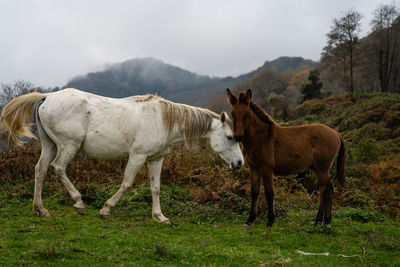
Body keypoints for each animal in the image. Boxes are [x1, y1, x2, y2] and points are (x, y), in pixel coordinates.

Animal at [0, 88, 244, 224]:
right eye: (230, 137)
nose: (240, 163)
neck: (163, 119)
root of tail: (46, 97)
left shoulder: (156, 158)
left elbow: (155, 187)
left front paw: (159, 217)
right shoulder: (137, 156)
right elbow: (127, 183)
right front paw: (106, 209)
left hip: (50, 144)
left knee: (40, 170)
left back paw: (40, 209)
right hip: (68, 145)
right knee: (58, 168)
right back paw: (78, 202)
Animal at [227, 89, 346, 227]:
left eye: (246, 114)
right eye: (232, 114)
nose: (238, 136)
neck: (261, 137)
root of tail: (336, 133)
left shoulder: (267, 169)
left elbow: (269, 193)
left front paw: (270, 221)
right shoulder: (254, 169)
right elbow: (255, 192)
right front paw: (250, 219)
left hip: (321, 168)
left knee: (324, 190)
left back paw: (318, 220)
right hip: (322, 169)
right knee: (330, 189)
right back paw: (327, 220)